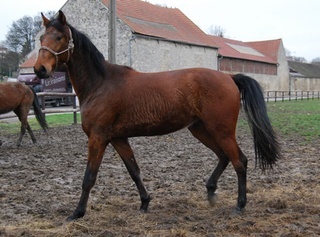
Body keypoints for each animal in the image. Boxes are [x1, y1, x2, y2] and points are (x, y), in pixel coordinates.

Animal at [33, 12, 280, 221]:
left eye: (59, 37)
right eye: (41, 38)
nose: (39, 69)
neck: (101, 83)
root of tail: (229, 78)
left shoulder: (98, 138)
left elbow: (89, 178)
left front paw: (77, 212)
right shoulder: (118, 138)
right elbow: (134, 171)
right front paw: (145, 202)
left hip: (221, 131)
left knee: (240, 161)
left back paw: (240, 205)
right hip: (200, 129)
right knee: (224, 157)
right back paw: (210, 192)